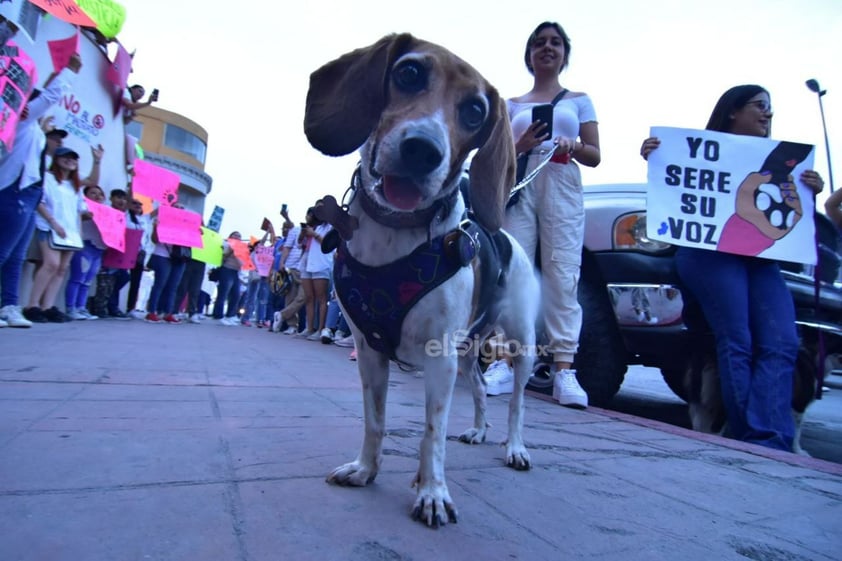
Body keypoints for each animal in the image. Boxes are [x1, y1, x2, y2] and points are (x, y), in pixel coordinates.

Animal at [306, 34, 536, 524]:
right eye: (408, 73)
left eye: (475, 111)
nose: (422, 150)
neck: (397, 231)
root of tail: (503, 233)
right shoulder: (369, 351)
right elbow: (375, 420)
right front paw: (366, 469)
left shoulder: (439, 357)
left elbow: (432, 433)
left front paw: (432, 491)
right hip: (468, 355)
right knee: (481, 392)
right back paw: (478, 431)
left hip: (519, 345)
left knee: (517, 404)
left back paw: (514, 447)